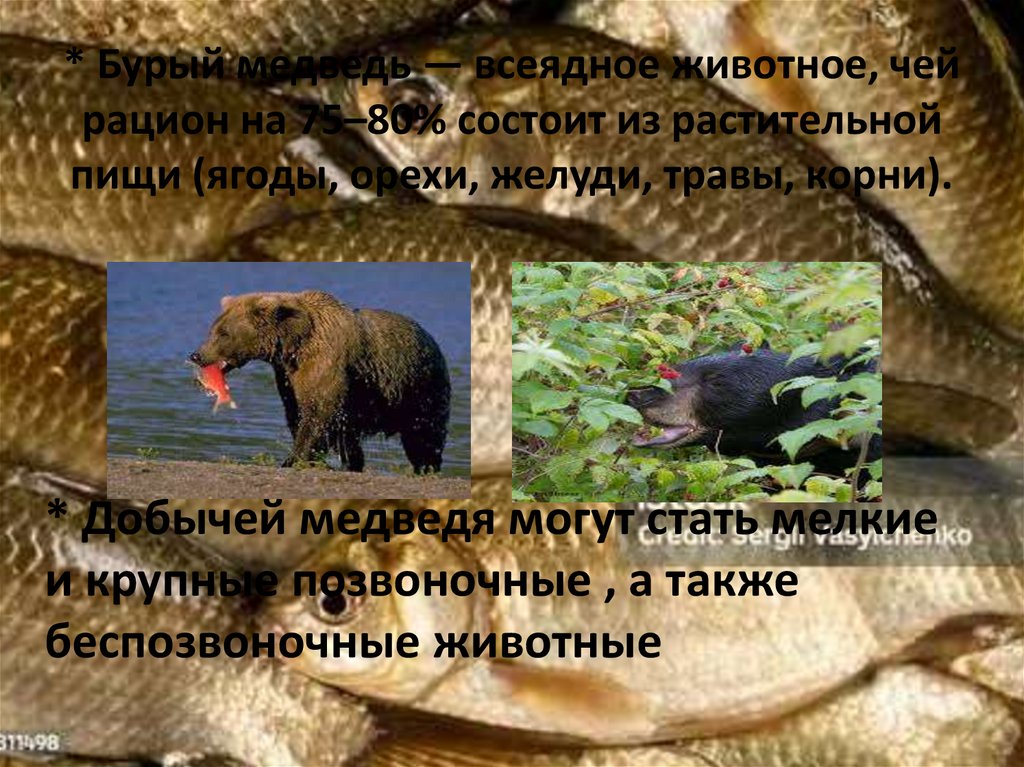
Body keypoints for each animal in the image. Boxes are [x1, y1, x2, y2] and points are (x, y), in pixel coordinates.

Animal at [189, 290, 450, 474]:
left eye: (223, 333)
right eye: (213, 329)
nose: (196, 355)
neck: (293, 345)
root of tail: (431, 338)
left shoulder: (325, 360)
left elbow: (318, 412)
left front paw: (293, 459)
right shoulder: (288, 375)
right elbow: (297, 411)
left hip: (420, 388)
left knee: (424, 434)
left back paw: (426, 468)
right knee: (351, 437)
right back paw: (354, 463)